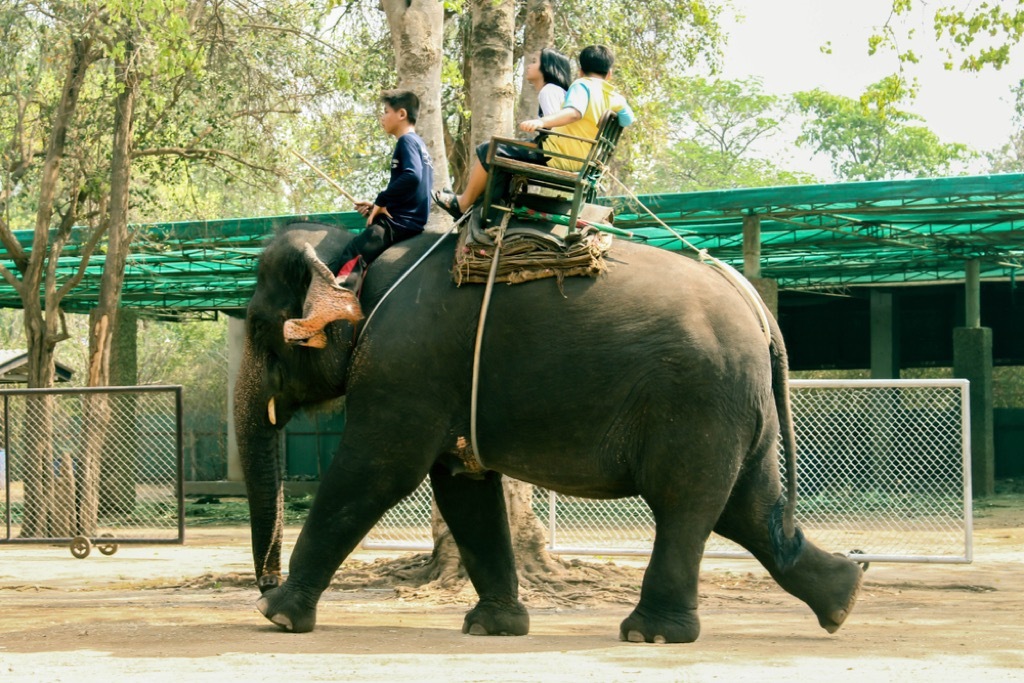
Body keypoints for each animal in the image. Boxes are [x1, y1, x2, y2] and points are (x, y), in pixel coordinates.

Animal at [234, 220, 864, 647]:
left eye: (261, 329)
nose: (262, 585)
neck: (362, 261)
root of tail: (759, 309)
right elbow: (463, 487)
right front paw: (494, 627)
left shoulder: (404, 363)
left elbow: (375, 470)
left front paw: (278, 617)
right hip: (736, 407)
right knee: (747, 509)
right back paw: (844, 597)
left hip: (699, 401)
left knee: (688, 504)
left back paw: (651, 634)